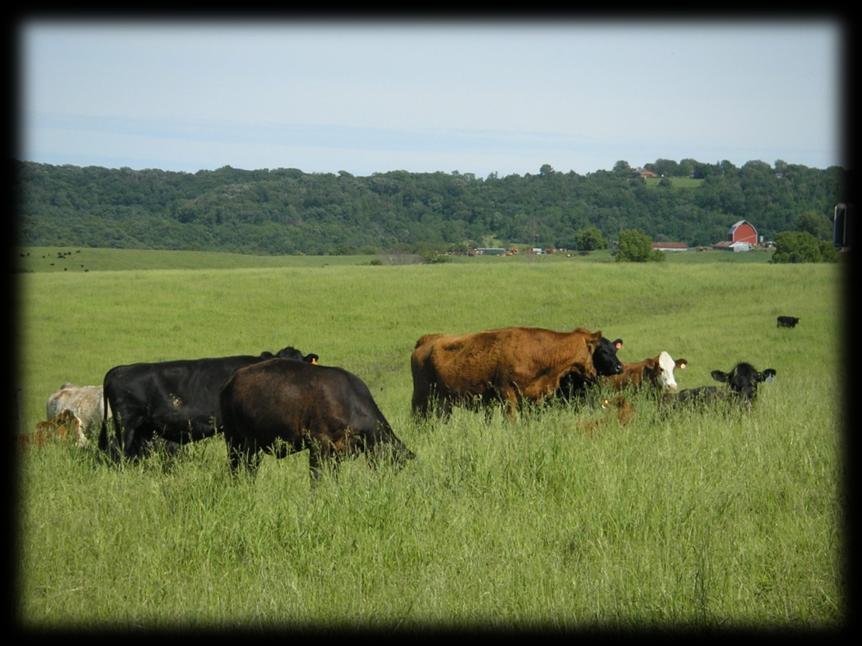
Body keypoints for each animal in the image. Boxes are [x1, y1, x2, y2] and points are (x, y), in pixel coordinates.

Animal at [219, 360, 416, 486]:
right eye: (390, 461)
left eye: (399, 465)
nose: (386, 483)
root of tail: (231, 381)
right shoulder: (318, 444)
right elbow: (316, 477)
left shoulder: (337, 451)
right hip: (235, 441)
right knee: (236, 467)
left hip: (252, 446)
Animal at [410, 326, 620, 422]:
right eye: (599, 349)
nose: (619, 367)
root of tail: (426, 340)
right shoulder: (508, 396)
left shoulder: (533, 399)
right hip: (421, 398)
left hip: (443, 403)